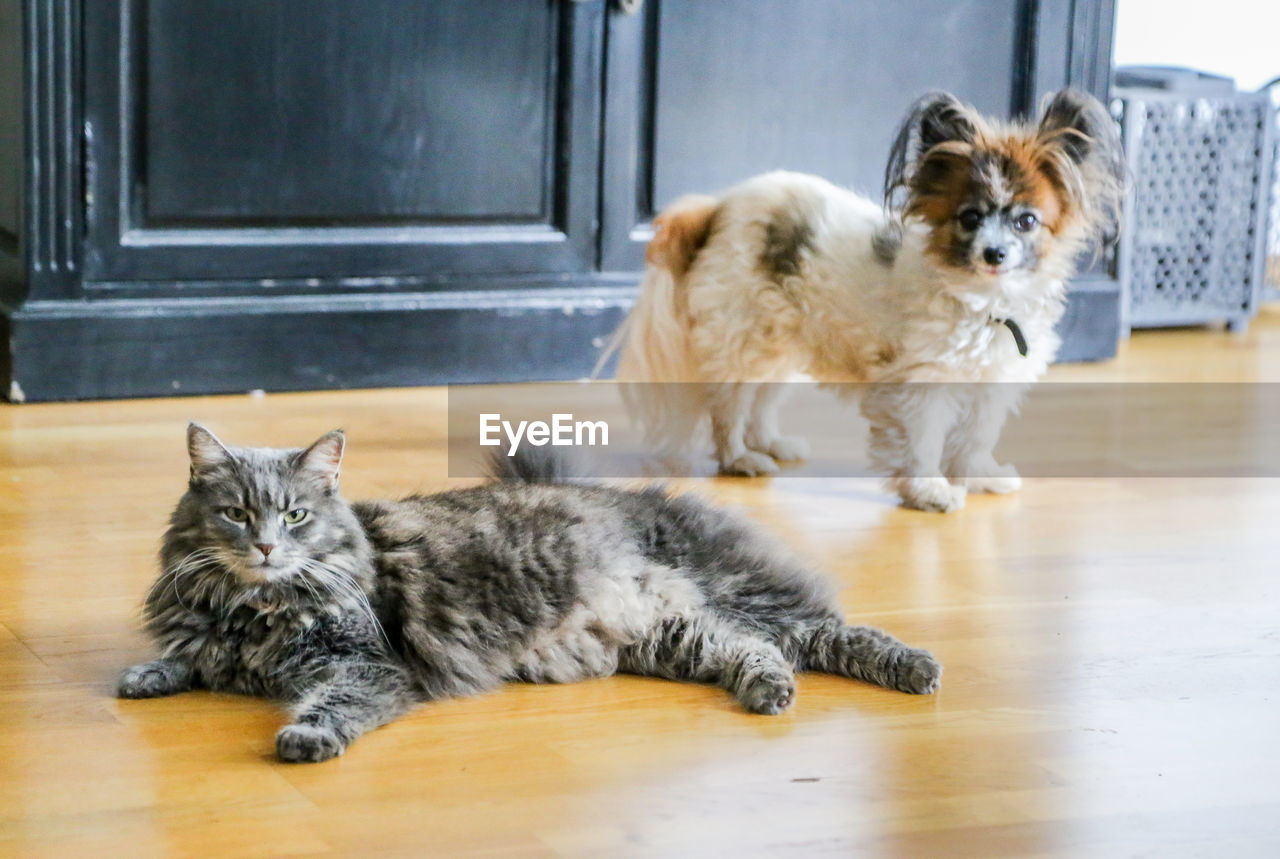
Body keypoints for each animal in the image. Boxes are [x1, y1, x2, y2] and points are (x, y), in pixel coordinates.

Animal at [120, 427, 942, 762]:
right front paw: (146, 675)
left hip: (734, 590)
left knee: (823, 631)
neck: (253, 609)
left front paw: (306, 738)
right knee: (758, 649)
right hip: (675, 632)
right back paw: (770, 692)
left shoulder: (364, 665)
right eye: (236, 513)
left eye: (294, 516)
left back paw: (916, 668)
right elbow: (187, 658)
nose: (265, 547)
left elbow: (332, 704)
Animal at [596, 90, 1121, 514]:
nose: (994, 253)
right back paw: (741, 459)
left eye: (1026, 222)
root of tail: (717, 209)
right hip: (742, 340)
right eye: (970, 218)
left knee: (763, 399)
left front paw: (980, 477)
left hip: (780, 344)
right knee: (730, 407)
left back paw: (772, 443)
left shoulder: (992, 384)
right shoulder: (920, 385)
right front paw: (929, 492)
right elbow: (923, 443)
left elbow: (976, 437)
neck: (981, 304)